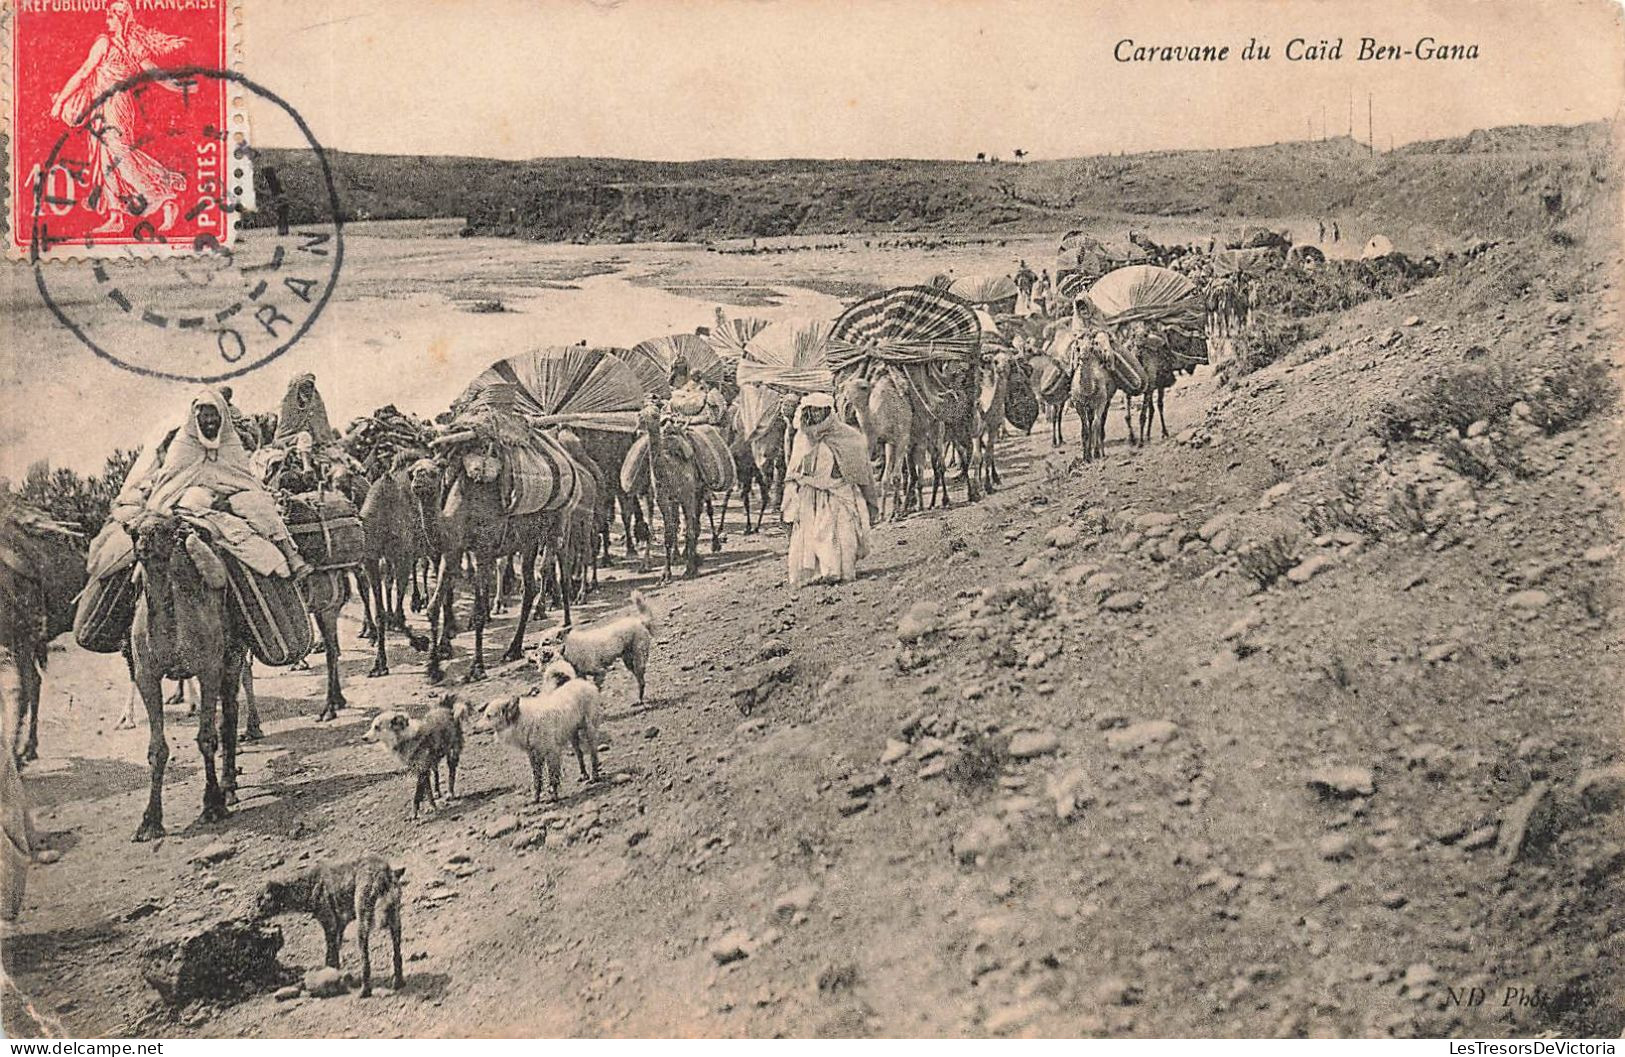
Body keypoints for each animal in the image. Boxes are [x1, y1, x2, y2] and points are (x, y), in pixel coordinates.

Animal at [125, 510, 250, 839]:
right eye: (134, 532)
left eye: (166, 530)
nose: (144, 544)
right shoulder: (146, 674)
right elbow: (156, 749)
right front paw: (150, 822)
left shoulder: (209, 668)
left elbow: (206, 738)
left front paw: (212, 806)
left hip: (232, 658)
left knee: (229, 713)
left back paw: (229, 786)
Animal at [256, 852, 406, 995]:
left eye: (260, 900)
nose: (253, 916)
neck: (308, 885)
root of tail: (383, 872)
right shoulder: (339, 925)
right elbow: (335, 954)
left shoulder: (330, 924)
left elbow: (330, 954)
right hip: (395, 920)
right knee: (397, 955)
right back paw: (398, 982)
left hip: (363, 921)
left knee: (365, 961)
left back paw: (365, 991)